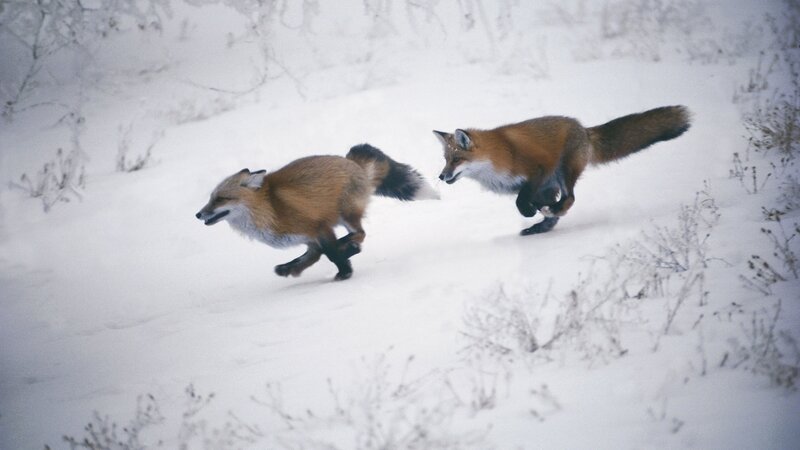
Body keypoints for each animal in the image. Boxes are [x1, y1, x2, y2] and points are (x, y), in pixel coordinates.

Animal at [195, 144, 438, 281]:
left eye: (220, 199)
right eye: (210, 198)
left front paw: (344, 272)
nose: (198, 215)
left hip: (346, 214)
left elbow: (330, 253)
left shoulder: (319, 227)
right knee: (353, 237)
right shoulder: (308, 238)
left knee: (360, 234)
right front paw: (289, 269)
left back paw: (349, 247)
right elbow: (311, 256)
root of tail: (350, 160)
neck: (270, 208)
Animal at [433, 105, 691, 235]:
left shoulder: (539, 169)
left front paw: (530, 212)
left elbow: (521, 201)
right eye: (446, 160)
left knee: (570, 199)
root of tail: (583, 129)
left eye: (456, 159)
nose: (441, 176)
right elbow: (529, 202)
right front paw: (535, 215)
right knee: (558, 210)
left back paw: (549, 214)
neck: (494, 161)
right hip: (555, 182)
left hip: (563, 171)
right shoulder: (534, 187)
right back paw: (539, 226)